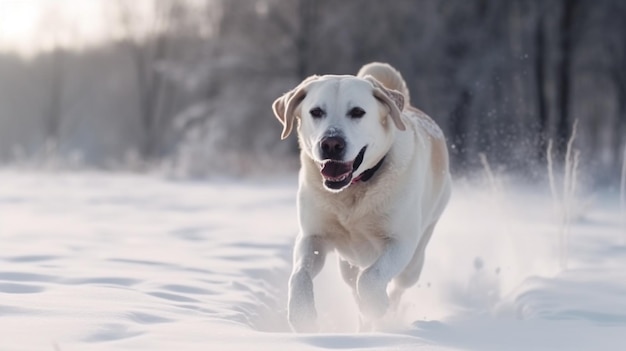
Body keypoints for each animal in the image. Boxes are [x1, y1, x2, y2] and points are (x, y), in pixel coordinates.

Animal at [270, 62, 450, 332]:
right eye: (316, 111)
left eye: (357, 112)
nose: (331, 143)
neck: (352, 192)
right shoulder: (313, 236)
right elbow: (300, 274)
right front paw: (302, 315)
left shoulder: (400, 242)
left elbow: (371, 278)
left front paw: (375, 305)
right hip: (348, 264)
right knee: (352, 283)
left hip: (415, 259)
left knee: (396, 288)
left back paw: (387, 315)